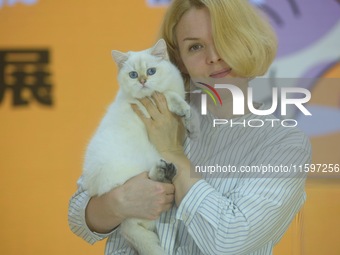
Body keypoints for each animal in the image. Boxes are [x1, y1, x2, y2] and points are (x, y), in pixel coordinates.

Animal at [82, 39, 197, 255]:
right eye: (133, 75)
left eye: (151, 71)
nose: (143, 81)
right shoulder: (148, 103)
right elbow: (169, 96)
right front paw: (183, 109)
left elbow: (186, 109)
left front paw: (190, 122)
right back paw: (163, 171)